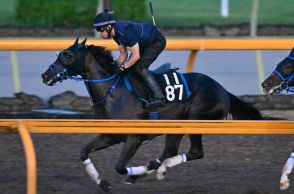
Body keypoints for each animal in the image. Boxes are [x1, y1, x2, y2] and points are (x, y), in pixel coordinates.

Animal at [40, 37, 262, 192]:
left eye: (67, 55)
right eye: (60, 54)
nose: (45, 75)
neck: (114, 93)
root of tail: (222, 90)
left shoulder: (134, 138)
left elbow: (120, 166)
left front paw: (132, 173)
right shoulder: (109, 135)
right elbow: (84, 152)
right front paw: (103, 183)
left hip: (194, 121)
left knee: (193, 152)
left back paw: (149, 170)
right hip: (176, 127)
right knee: (174, 152)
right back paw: (153, 169)